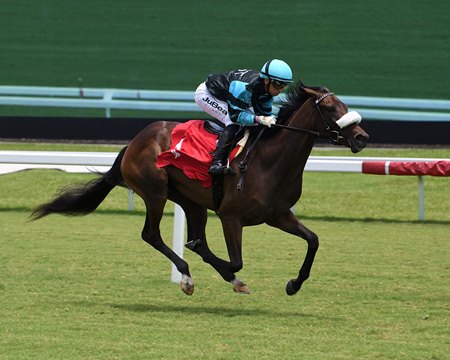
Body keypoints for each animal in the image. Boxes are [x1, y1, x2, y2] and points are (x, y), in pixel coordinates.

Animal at [31, 83, 370, 296]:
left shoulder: (278, 215)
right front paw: (234, 278)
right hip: (155, 191)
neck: (269, 161)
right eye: (330, 107)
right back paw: (187, 276)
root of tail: (135, 141)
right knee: (152, 235)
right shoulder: (231, 217)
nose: (362, 137)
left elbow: (313, 240)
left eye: (344, 104)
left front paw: (293, 284)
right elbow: (235, 261)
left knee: (194, 240)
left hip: (191, 201)